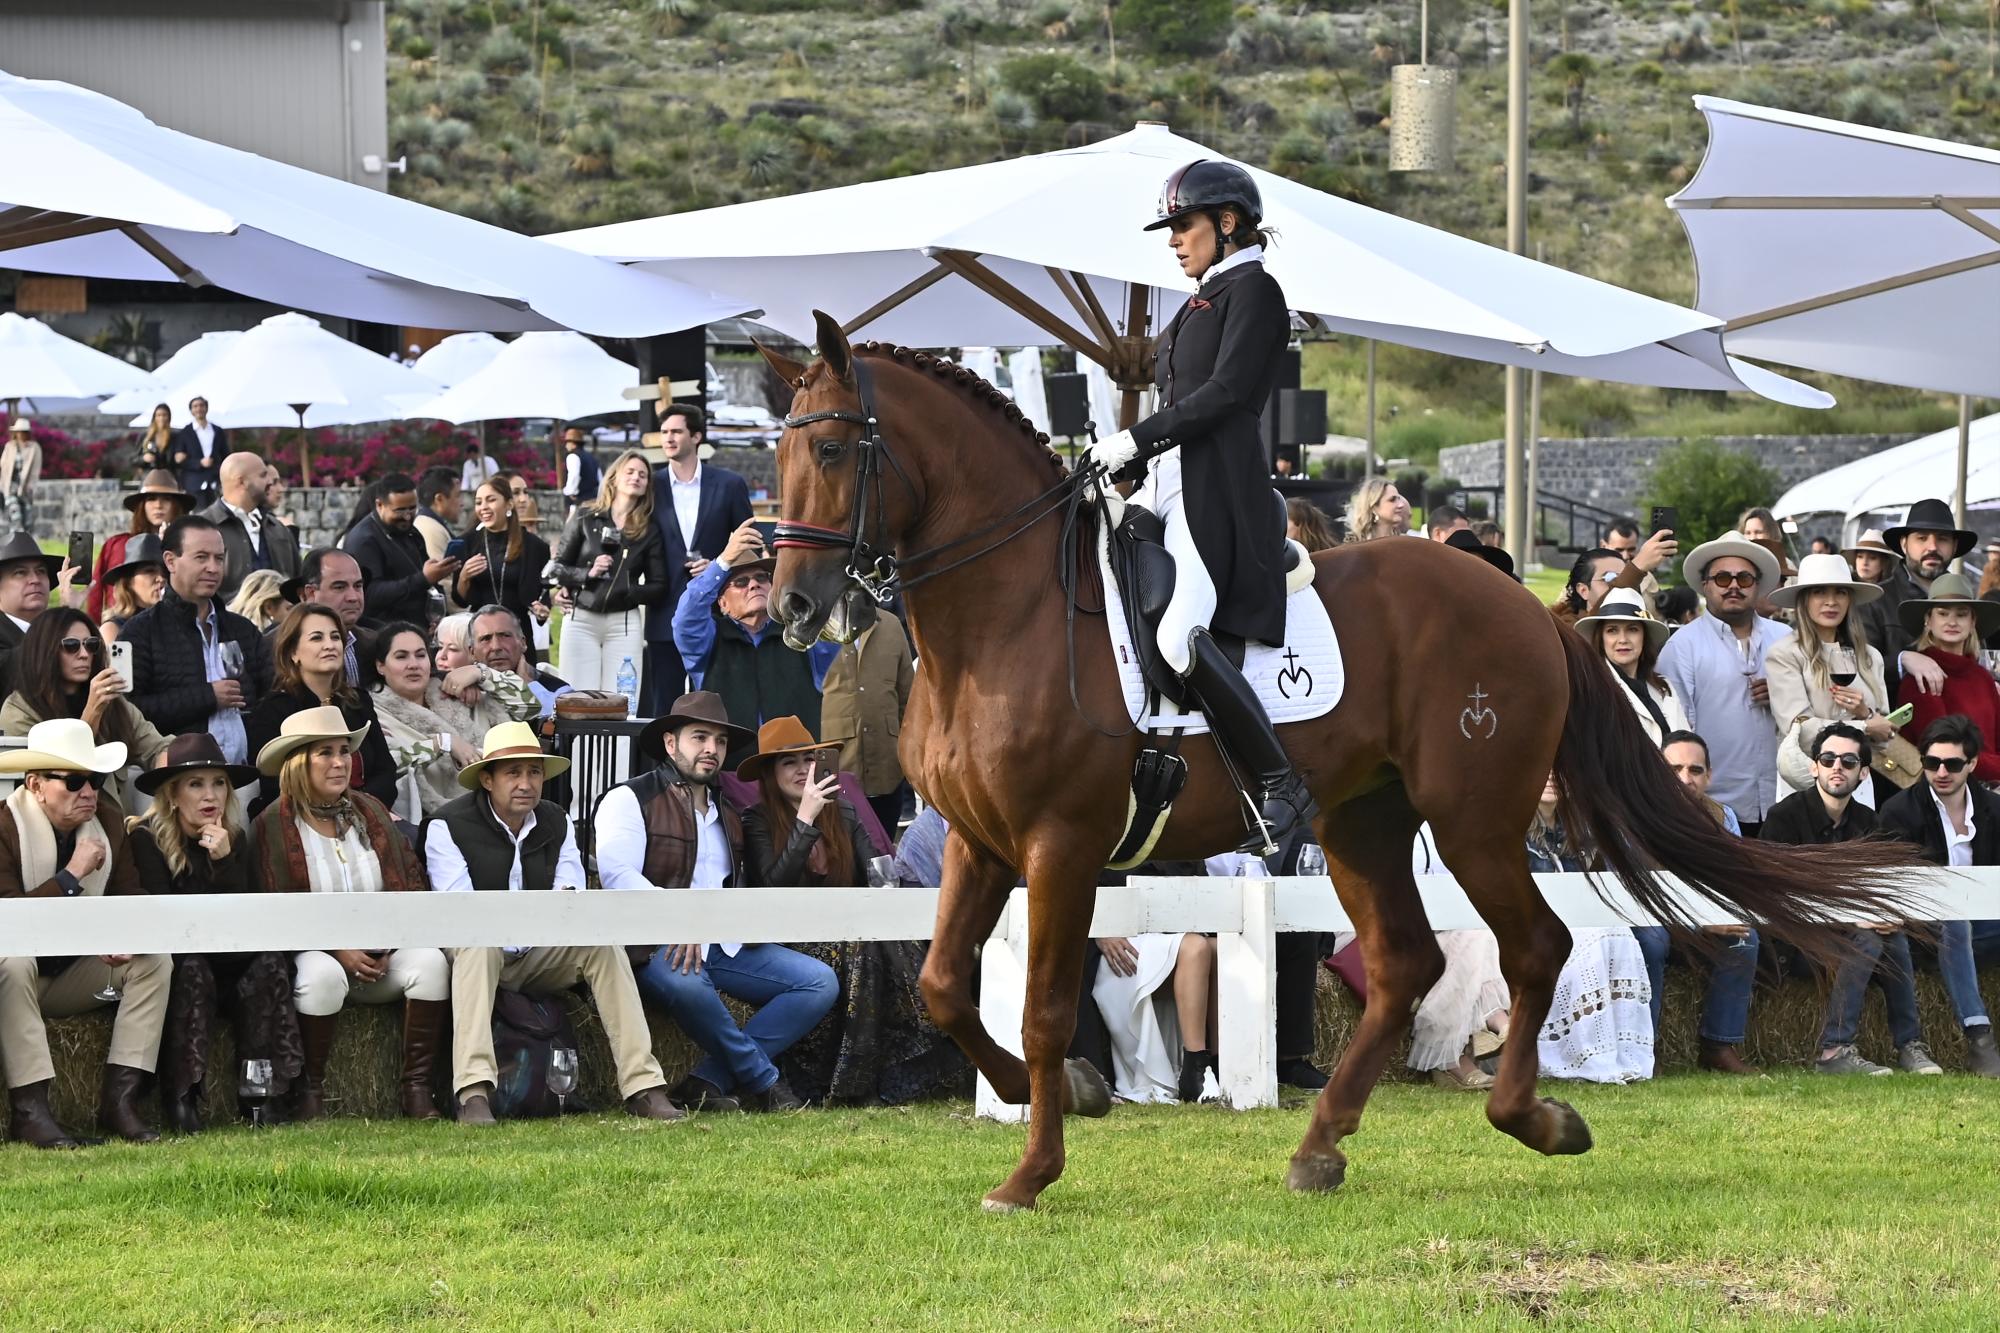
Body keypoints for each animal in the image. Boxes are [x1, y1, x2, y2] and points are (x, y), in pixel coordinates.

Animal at [756, 316, 1912, 1208]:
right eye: (775, 457)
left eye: (836, 453)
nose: (794, 611)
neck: (1010, 617)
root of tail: (1531, 608)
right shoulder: (977, 842)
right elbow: (947, 987)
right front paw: (1078, 1090)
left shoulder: (1060, 846)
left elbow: (1036, 1010)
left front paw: (1031, 1171)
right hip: (1365, 820)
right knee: (1410, 963)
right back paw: (1320, 1146)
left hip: (1472, 817)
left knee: (1529, 946)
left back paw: (1529, 1117)